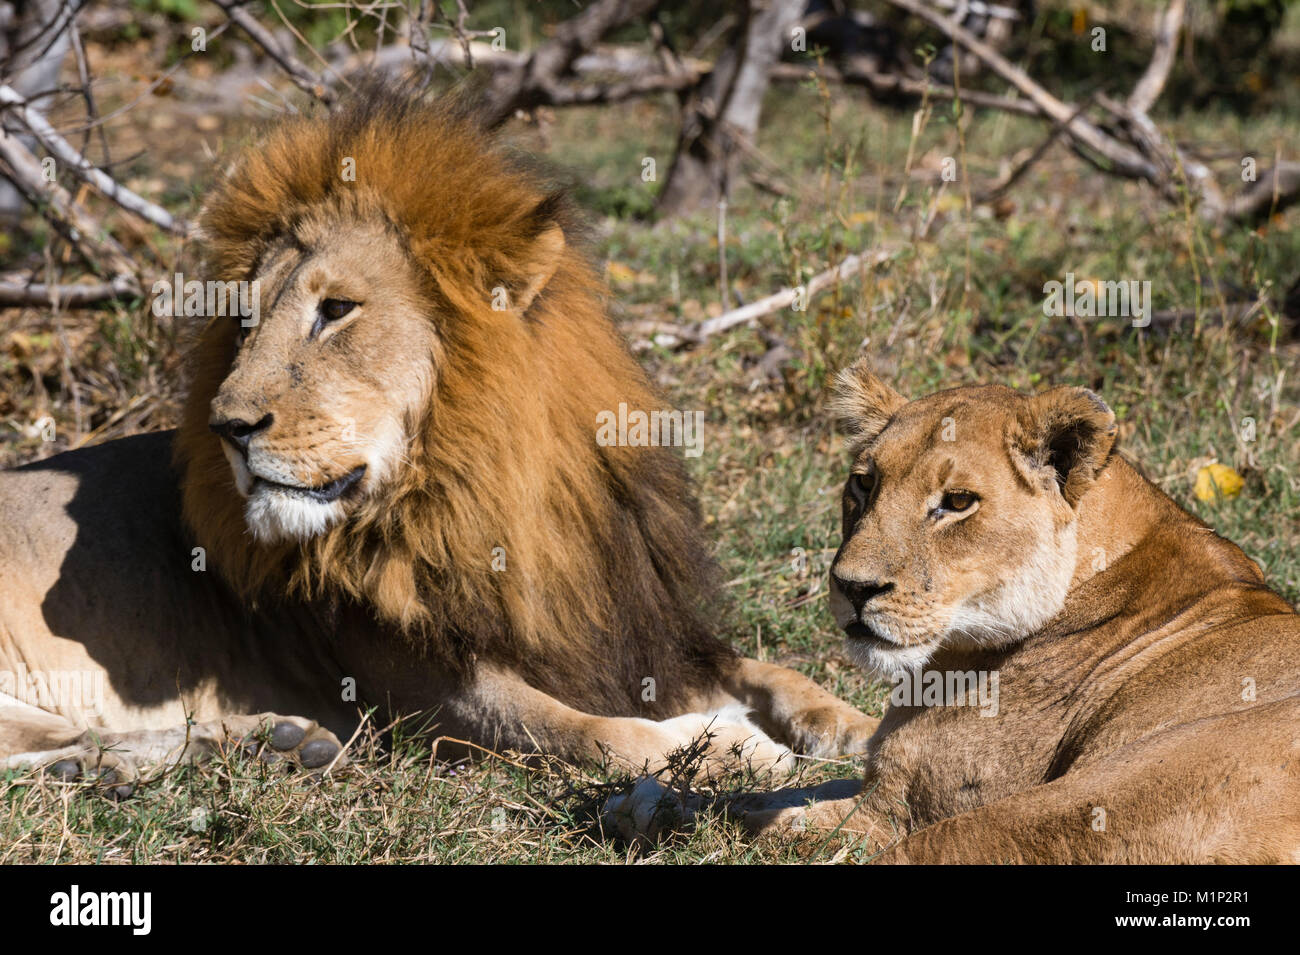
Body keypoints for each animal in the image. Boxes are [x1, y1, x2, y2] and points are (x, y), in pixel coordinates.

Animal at [0, 84, 877, 795]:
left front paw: (867, 729)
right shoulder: (428, 697)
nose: (228, 426)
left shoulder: (635, 634)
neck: (498, 494)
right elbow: (591, 730)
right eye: (244, 320)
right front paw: (734, 749)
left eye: (335, 310)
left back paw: (262, 746)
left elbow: (781, 673)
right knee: (51, 743)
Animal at [611, 363, 1300, 863]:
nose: (851, 587)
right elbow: (789, 788)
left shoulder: (892, 812)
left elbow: (751, 821)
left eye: (958, 502)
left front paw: (653, 811)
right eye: (864, 482)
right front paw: (640, 799)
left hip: (1091, 796)